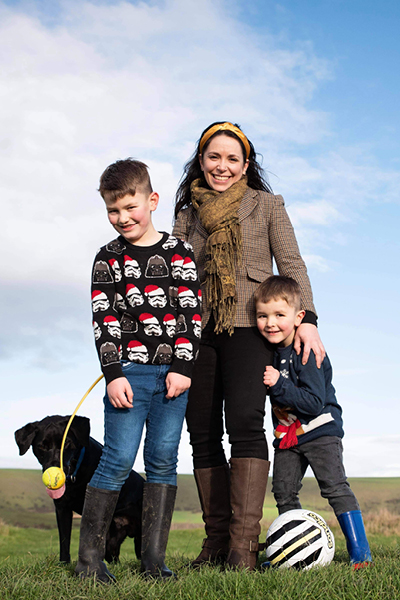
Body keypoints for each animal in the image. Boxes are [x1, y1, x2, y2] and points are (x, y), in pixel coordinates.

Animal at [14, 414, 145, 564]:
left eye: (67, 443)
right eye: (42, 446)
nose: (56, 470)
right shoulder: (62, 508)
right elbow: (64, 541)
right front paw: (64, 564)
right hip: (112, 541)